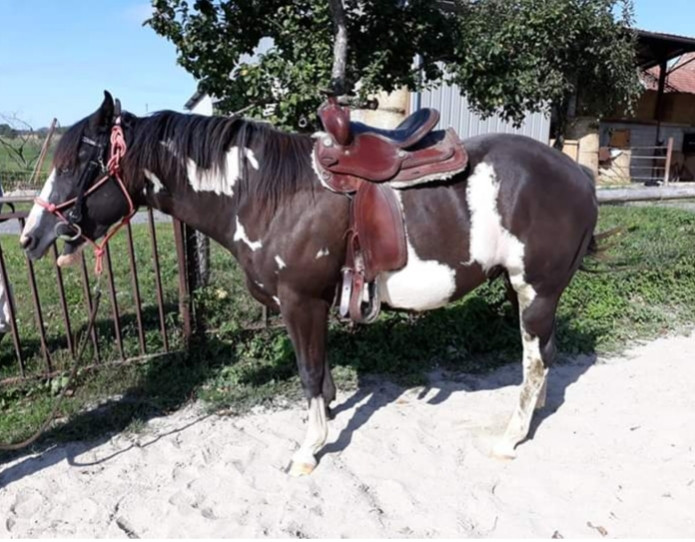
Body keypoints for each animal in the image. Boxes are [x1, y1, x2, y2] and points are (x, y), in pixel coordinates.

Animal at [19, 92, 598, 476]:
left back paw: (510, 437)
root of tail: (578, 174)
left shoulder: (300, 301)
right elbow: (320, 375)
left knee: (534, 360)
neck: (264, 193)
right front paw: (328, 414)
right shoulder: (309, 303)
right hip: (527, 291)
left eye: (79, 161)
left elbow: (308, 371)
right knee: (544, 356)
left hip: (536, 290)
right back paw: (534, 414)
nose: (31, 235)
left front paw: (309, 447)